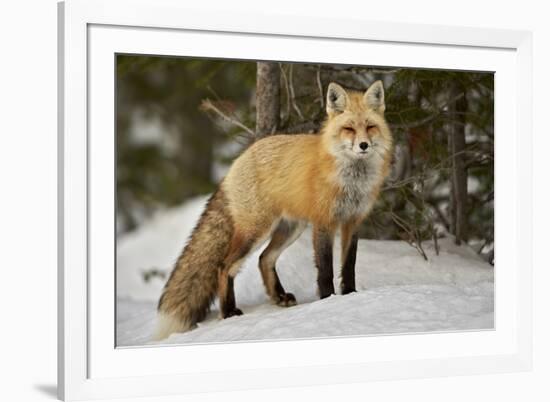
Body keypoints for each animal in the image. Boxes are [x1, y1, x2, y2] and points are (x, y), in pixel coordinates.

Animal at [155, 81, 394, 340]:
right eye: (349, 128)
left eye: (370, 127)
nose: (363, 145)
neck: (352, 181)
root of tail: (238, 161)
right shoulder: (324, 222)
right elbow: (325, 268)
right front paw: (327, 299)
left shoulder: (353, 220)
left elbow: (349, 265)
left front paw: (350, 295)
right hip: (256, 231)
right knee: (224, 266)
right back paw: (228, 312)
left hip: (291, 228)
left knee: (264, 259)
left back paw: (279, 296)